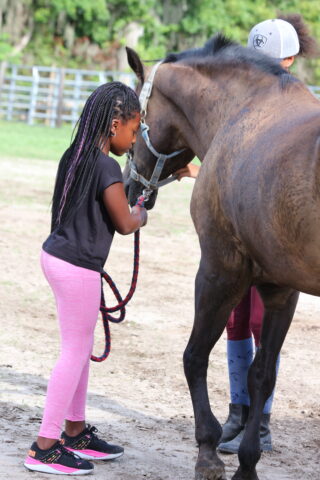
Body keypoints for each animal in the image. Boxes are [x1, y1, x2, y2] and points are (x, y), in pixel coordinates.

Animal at [123, 34, 320, 480]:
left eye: (134, 120)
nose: (128, 187)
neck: (245, 111)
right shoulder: (281, 288)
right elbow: (261, 374)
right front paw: (247, 463)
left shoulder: (218, 270)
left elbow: (194, 356)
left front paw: (208, 451)